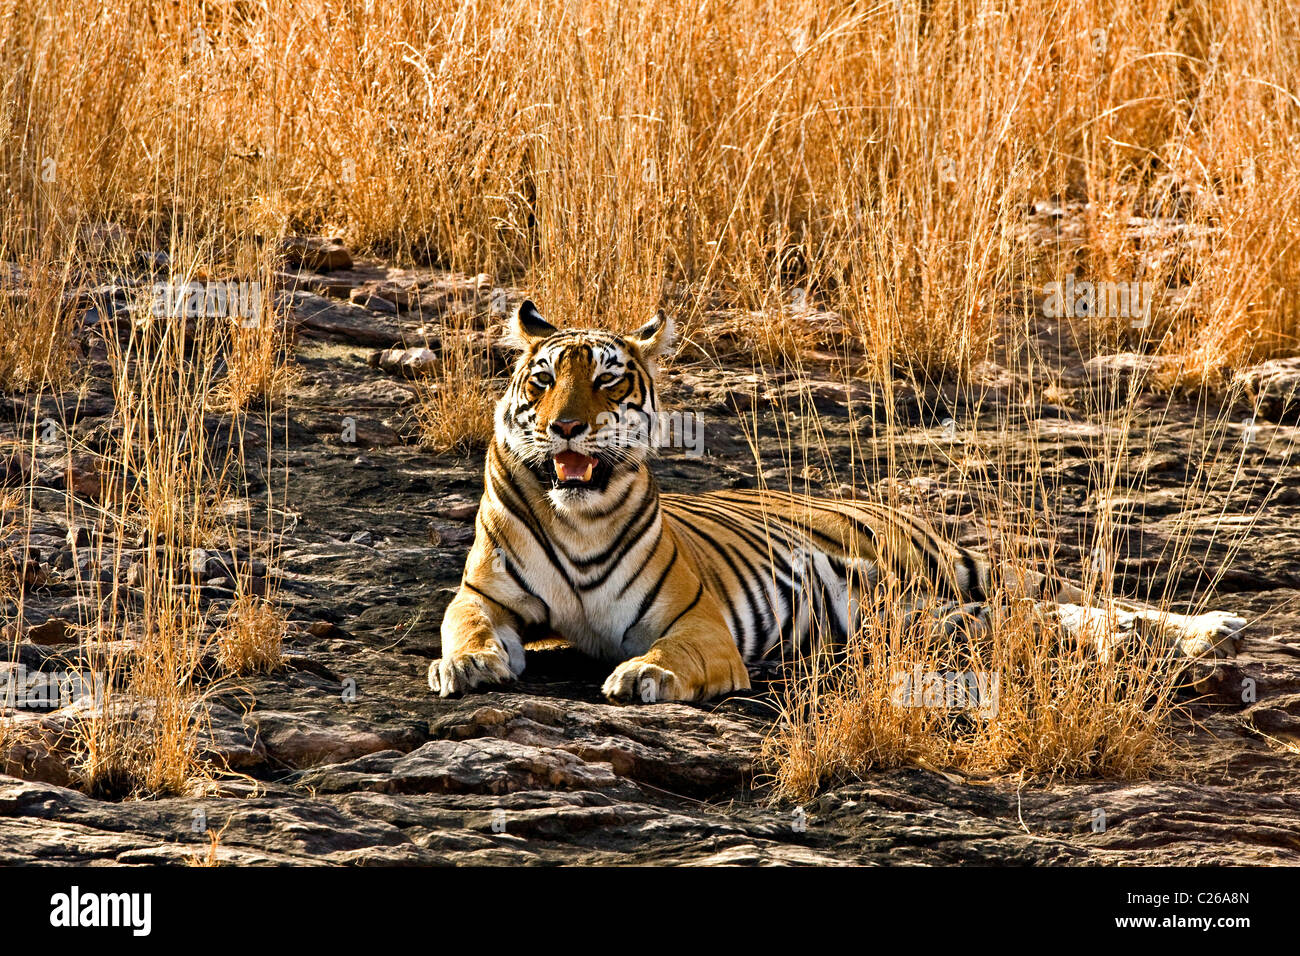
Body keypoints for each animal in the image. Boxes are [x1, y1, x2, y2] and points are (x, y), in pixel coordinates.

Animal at [428, 299, 1248, 702]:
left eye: (606, 379)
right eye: (542, 380)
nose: (566, 425)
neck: (581, 521)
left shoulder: (699, 621)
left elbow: (671, 653)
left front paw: (642, 676)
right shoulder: (484, 593)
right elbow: (464, 624)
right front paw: (466, 667)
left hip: (967, 568)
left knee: (1090, 593)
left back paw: (1212, 630)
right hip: (938, 616)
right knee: (1042, 620)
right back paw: (1126, 640)